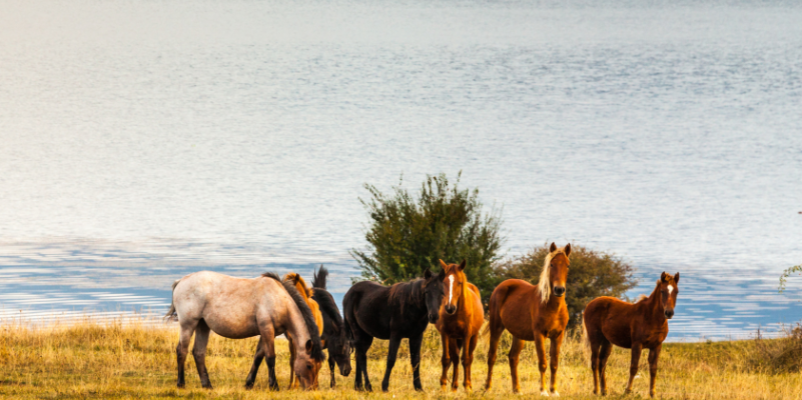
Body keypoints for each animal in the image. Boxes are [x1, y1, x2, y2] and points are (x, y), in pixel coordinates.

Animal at [164, 271, 325, 390]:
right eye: (309, 365)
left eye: (319, 366)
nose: (312, 389)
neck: (279, 299)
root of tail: (181, 281)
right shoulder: (267, 329)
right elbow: (270, 357)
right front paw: (274, 386)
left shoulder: (268, 332)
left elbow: (258, 357)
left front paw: (249, 384)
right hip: (188, 324)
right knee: (182, 350)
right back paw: (181, 384)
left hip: (203, 325)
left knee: (198, 352)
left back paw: (207, 385)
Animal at [435, 259, 484, 392]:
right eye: (444, 282)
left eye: (460, 282)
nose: (449, 308)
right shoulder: (445, 334)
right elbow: (446, 359)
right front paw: (443, 386)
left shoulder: (467, 335)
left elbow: (466, 359)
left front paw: (467, 387)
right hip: (454, 338)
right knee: (455, 358)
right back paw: (454, 386)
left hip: (473, 337)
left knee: (469, 357)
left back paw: (468, 384)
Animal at [484, 242, 571, 396]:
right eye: (552, 264)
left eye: (567, 265)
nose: (559, 289)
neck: (551, 306)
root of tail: (502, 285)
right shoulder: (539, 335)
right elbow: (543, 362)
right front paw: (543, 391)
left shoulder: (558, 336)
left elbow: (554, 363)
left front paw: (554, 391)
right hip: (496, 328)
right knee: (492, 356)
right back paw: (488, 388)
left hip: (519, 335)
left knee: (513, 358)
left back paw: (517, 390)